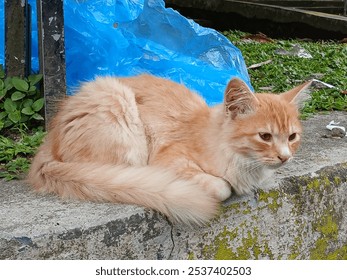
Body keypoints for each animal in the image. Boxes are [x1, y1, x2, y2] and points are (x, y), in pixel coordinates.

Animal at [28, 75, 312, 225]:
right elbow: (222, 187)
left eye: (292, 137)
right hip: (118, 104)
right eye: (265, 136)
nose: (285, 157)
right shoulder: (169, 159)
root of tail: (49, 141)